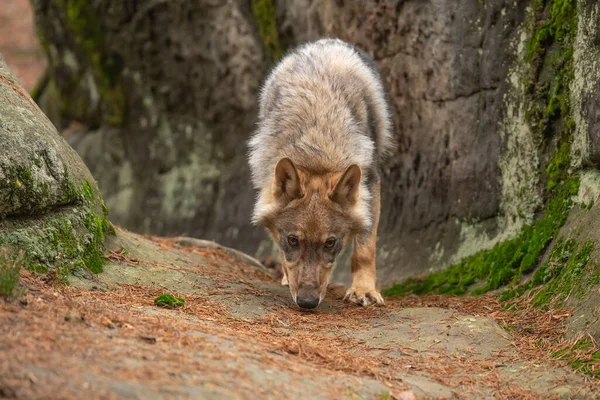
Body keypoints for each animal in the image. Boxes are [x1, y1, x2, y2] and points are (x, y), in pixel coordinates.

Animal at [248, 38, 394, 310]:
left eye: (330, 242)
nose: (307, 302)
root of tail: (325, 41)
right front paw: (287, 275)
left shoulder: (371, 184)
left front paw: (364, 290)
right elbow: (279, 246)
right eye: (293, 240)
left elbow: (365, 248)